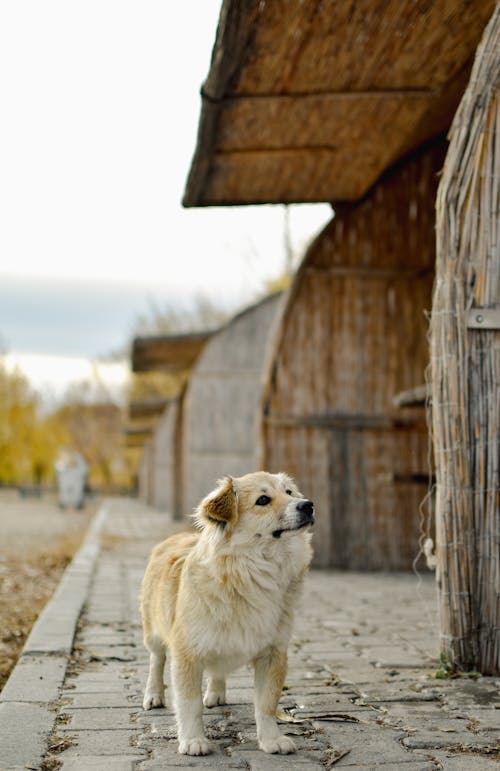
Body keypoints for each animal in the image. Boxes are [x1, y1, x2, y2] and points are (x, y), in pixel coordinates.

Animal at [139, 470, 314, 752]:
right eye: (263, 500)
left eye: (289, 492)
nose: (308, 505)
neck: (251, 572)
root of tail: (174, 537)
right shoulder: (187, 653)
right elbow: (189, 704)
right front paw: (193, 740)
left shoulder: (273, 653)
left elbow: (266, 704)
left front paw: (270, 739)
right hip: (153, 632)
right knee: (156, 660)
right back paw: (154, 695)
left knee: (216, 670)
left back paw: (216, 693)